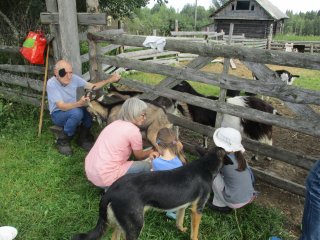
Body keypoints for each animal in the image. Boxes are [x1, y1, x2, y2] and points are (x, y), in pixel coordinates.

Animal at [72, 148, 230, 240]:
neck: (205, 164)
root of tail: (111, 189)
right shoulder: (197, 210)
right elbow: (195, 232)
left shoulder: (183, 206)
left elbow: (179, 221)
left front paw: (181, 229)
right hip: (135, 226)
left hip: (121, 223)